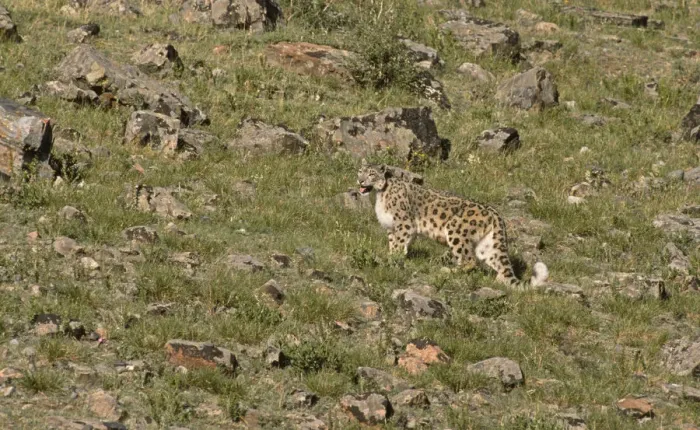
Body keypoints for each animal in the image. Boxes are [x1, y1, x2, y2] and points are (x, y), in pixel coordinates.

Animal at [356, 160, 548, 290]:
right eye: (360, 171)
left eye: (371, 173)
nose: (360, 181)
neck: (379, 195)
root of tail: (495, 214)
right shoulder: (391, 227)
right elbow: (395, 243)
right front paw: (393, 256)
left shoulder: (404, 224)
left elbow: (398, 243)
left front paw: (392, 259)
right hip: (487, 245)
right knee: (498, 264)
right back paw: (499, 282)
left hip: (456, 232)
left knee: (468, 260)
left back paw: (448, 271)